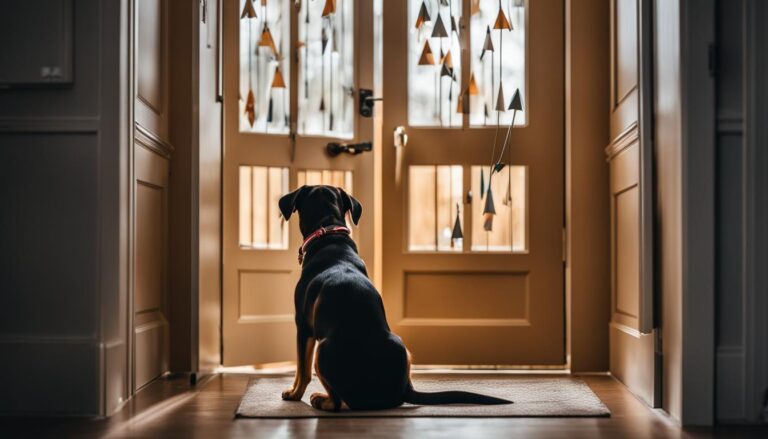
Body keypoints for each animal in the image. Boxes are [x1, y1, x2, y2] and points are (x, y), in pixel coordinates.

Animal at [276, 186, 510, 412]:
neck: (329, 232)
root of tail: (402, 390)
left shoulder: (303, 325)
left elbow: (302, 370)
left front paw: (293, 393)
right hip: (402, 346)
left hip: (323, 350)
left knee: (336, 401)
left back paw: (320, 399)